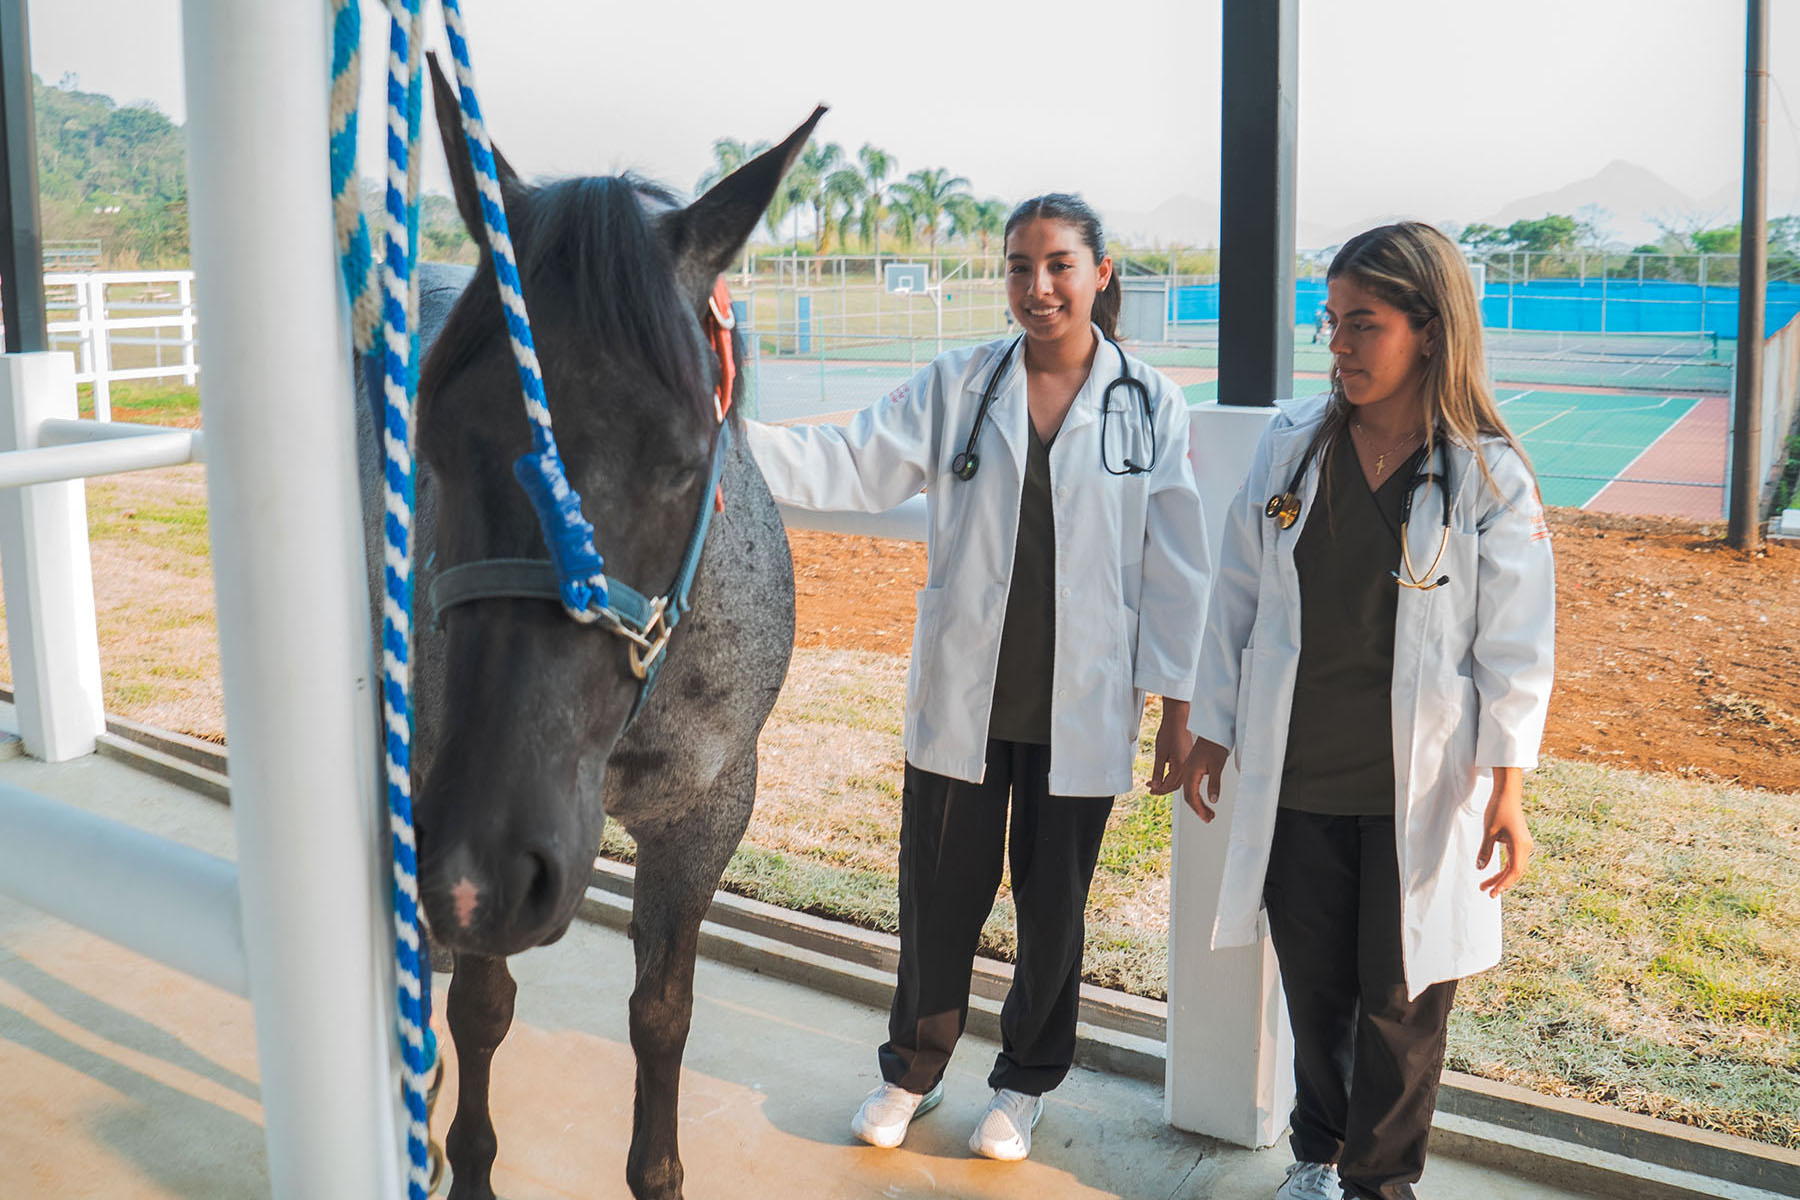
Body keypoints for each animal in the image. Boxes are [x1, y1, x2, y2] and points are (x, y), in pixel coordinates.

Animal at [354, 58, 820, 1200]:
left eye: (688, 453)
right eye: (435, 433)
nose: (489, 865)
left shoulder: (707, 814)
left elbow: (661, 1019)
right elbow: (482, 1011)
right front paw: (468, 1164)